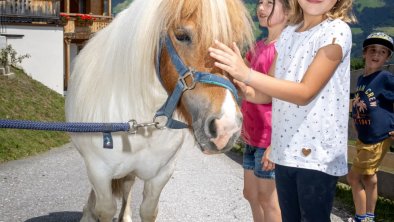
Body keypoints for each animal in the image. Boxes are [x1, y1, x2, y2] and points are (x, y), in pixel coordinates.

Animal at [65, 0, 254, 221]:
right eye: (182, 35)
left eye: (236, 44)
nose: (226, 128)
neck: (140, 125)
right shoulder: (99, 172)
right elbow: (104, 208)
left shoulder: (161, 174)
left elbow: (148, 210)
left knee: (128, 185)